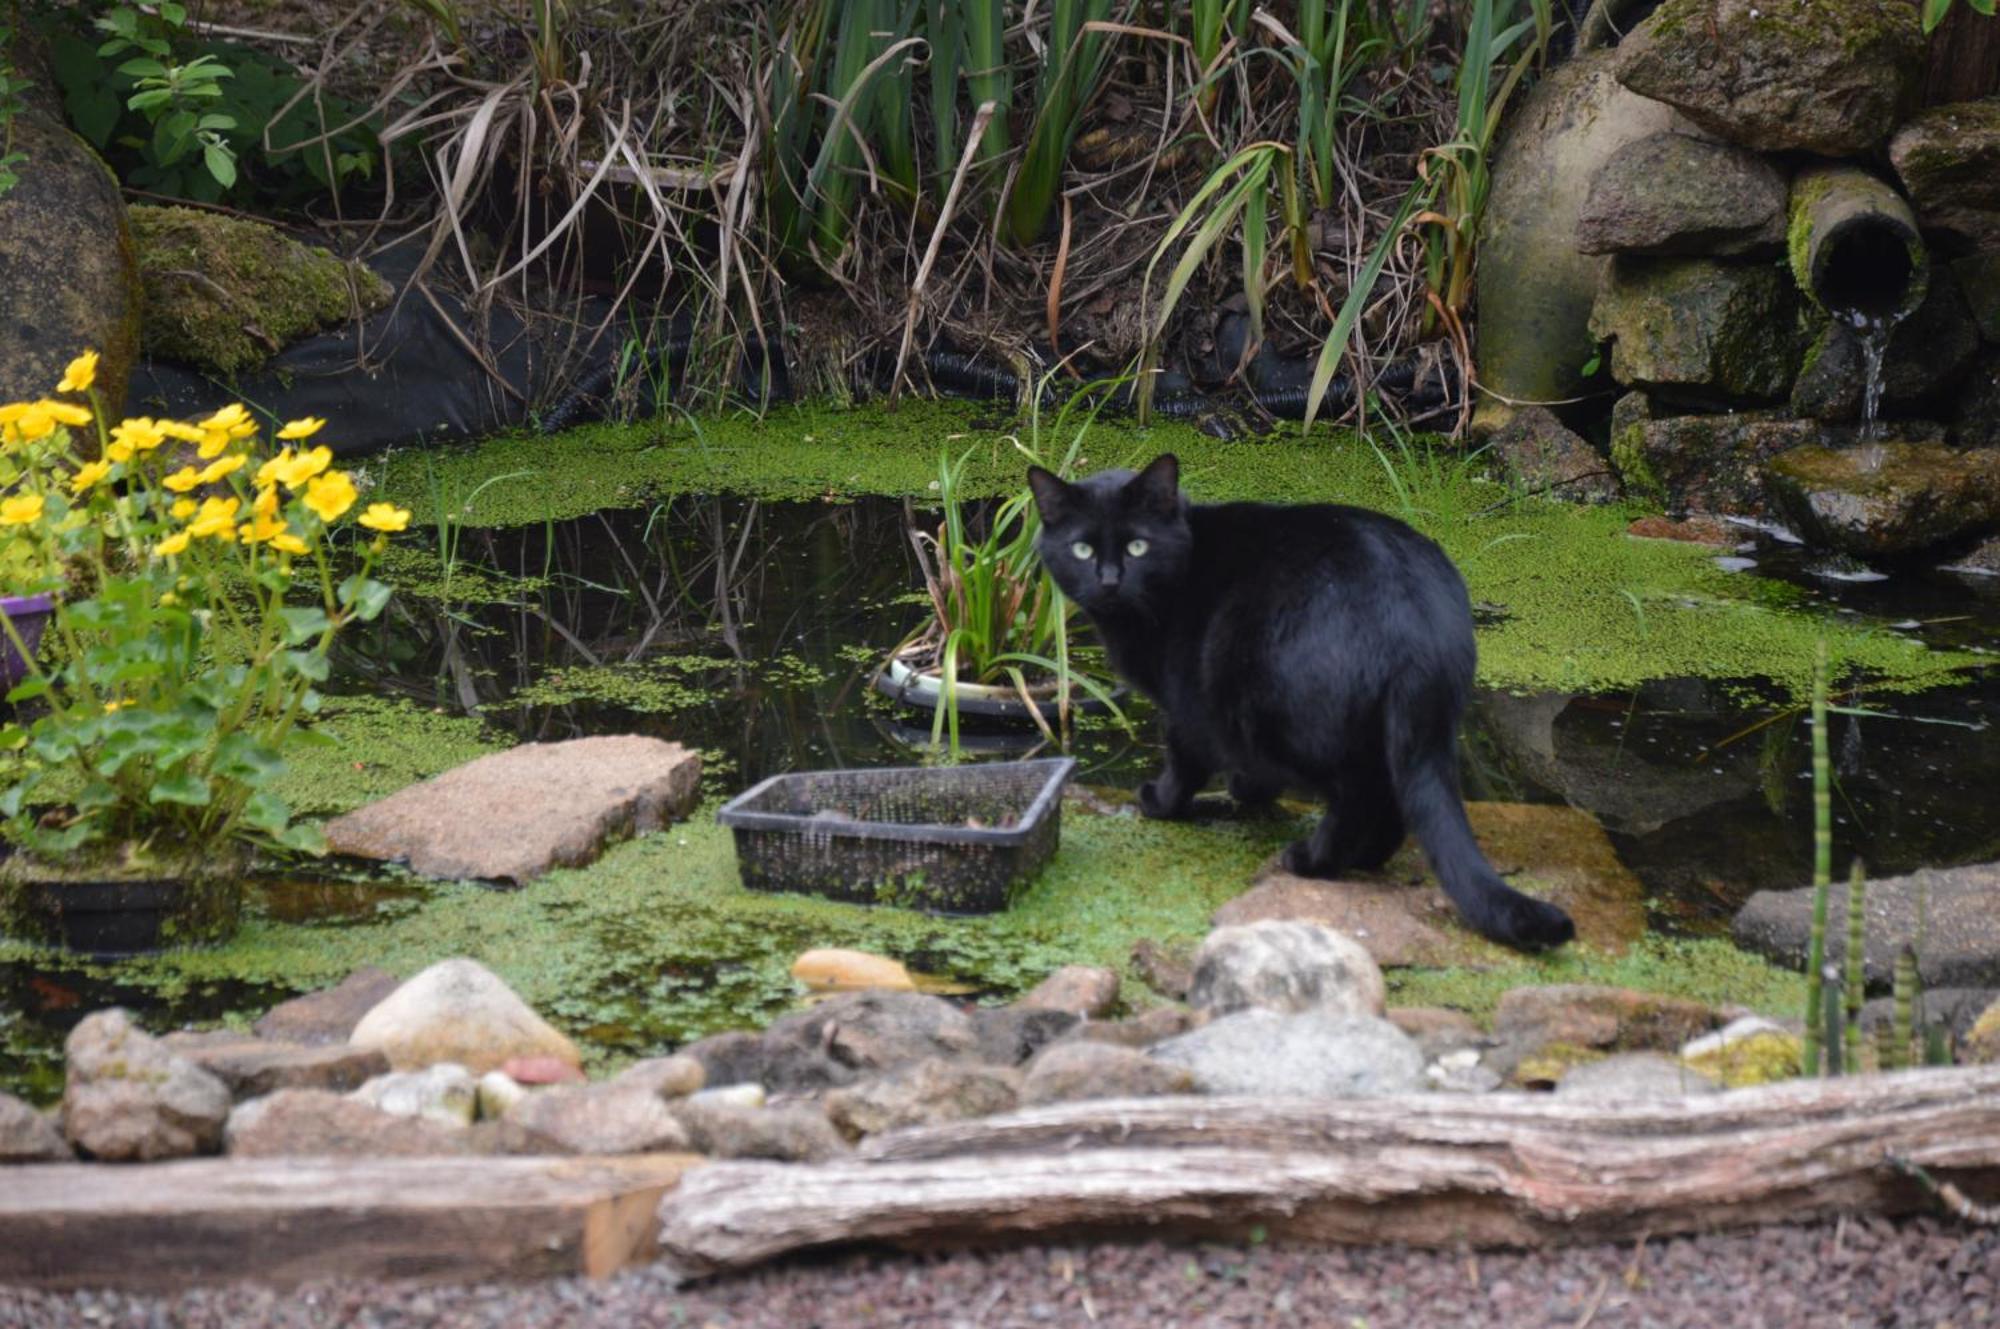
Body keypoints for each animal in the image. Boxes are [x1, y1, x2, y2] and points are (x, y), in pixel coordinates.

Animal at [1032, 452, 1576, 948]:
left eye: (1138, 546)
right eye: (1081, 549)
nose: (1108, 580)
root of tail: (1417, 616)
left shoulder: (1186, 699)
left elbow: (1185, 759)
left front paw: (1161, 802)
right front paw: (1248, 791)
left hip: (1278, 709)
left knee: (1358, 792)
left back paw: (1314, 861)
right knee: (1392, 791)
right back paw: (1365, 858)